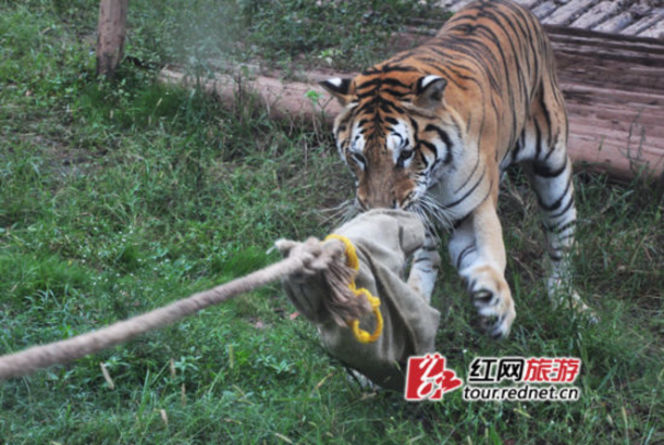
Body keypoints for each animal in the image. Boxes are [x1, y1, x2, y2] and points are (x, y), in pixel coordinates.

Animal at [320, 0, 588, 338]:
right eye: (358, 157)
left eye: (405, 154)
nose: (380, 211)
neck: (434, 178)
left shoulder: (474, 206)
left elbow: (489, 251)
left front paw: (497, 303)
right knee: (427, 256)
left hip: (554, 172)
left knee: (560, 237)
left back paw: (568, 303)